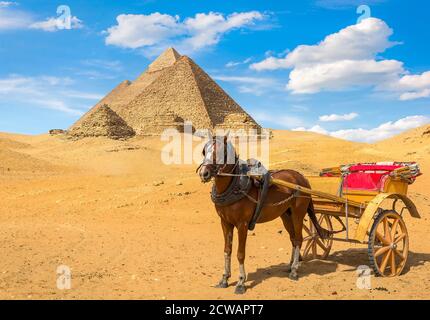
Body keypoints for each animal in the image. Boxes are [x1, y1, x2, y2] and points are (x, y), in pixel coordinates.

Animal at [197, 135, 330, 296]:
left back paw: (294, 270)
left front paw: (240, 282)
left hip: (298, 213)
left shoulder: (242, 224)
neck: (234, 186)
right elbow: (227, 250)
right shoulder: (225, 222)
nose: (204, 173)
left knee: (298, 239)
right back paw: (290, 265)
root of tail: (303, 179)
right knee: (293, 238)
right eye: (204, 151)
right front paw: (224, 279)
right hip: (286, 215)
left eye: (222, 152)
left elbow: (240, 253)